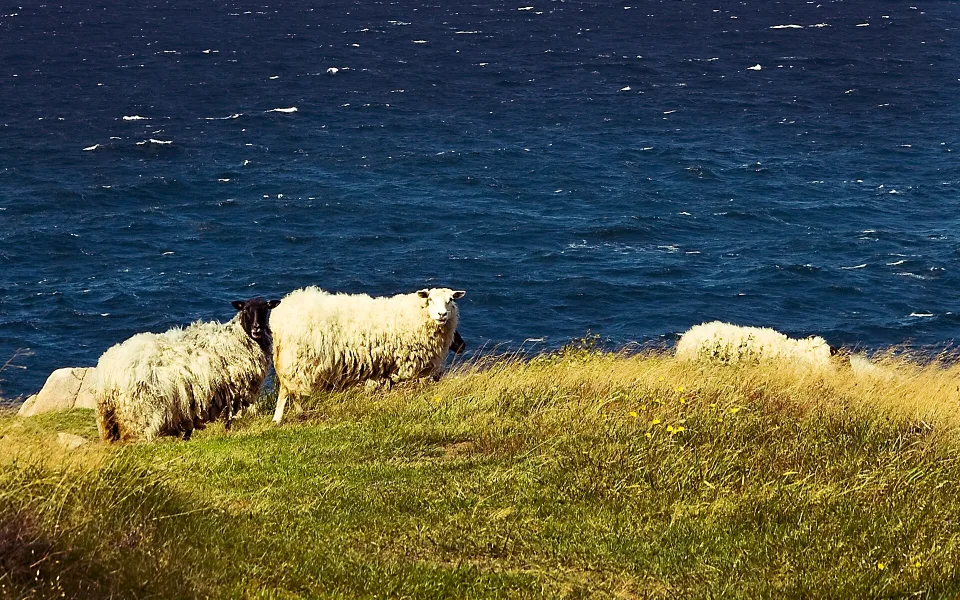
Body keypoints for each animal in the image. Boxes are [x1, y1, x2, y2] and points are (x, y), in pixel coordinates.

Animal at [94, 297, 281, 442]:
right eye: (246, 309)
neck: (236, 339)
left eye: (265, 310)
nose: (256, 328)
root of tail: (105, 374)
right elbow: (228, 421)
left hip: (109, 421)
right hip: (137, 416)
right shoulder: (231, 393)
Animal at [270, 286, 466, 424]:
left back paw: (298, 413)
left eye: (450, 300)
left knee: (291, 389)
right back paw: (280, 418)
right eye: (430, 299)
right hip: (296, 358)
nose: (442, 314)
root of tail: (280, 317)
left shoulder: (387, 365)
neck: (413, 315)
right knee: (287, 389)